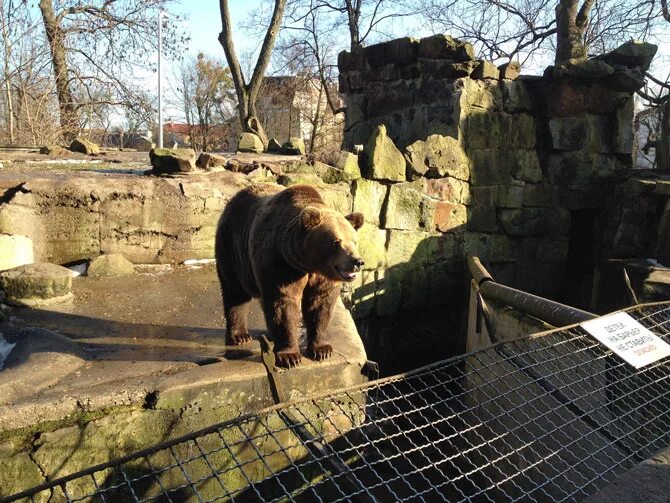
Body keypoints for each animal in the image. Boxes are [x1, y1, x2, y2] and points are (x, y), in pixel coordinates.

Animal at [217, 183, 364, 368]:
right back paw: (239, 336)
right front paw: (289, 356)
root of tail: (235, 198)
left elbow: (320, 305)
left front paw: (322, 349)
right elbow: (283, 304)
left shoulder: (320, 277)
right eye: (336, 241)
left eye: (355, 241)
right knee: (235, 292)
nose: (357, 261)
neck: (308, 263)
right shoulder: (281, 264)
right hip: (232, 249)